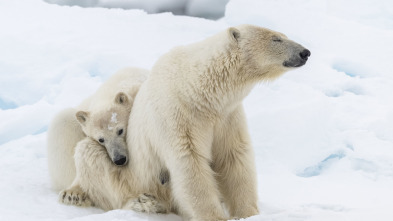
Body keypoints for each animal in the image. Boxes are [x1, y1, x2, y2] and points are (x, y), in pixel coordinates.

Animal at [126, 23, 310, 219]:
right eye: (276, 39)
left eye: (284, 35)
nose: (305, 52)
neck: (196, 91)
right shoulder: (178, 115)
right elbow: (190, 162)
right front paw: (214, 216)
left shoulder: (227, 116)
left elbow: (233, 156)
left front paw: (248, 213)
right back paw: (147, 202)